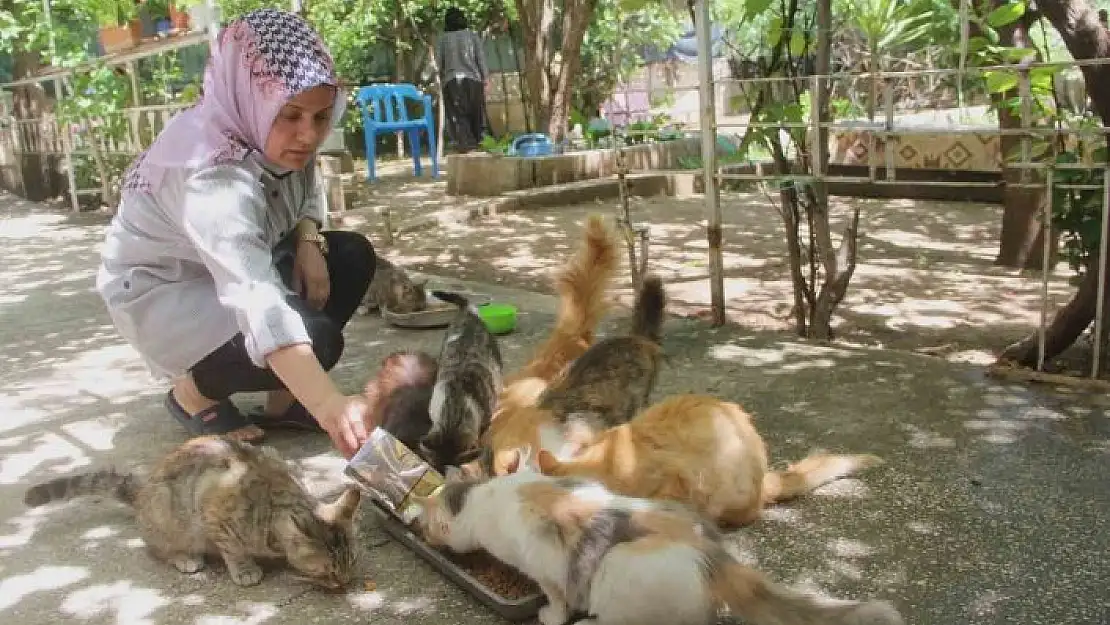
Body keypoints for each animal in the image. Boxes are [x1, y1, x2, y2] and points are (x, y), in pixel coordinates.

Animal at [22, 437, 359, 590]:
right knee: (156, 548)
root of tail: (143, 490)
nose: (345, 583)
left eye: (351, 563)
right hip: (167, 513)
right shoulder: (214, 511)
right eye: (328, 571)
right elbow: (233, 548)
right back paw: (184, 557)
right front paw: (244, 568)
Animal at [419, 452, 905, 625]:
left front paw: (551, 618)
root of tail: (712, 556)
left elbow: (554, 599)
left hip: (618, 581)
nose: (426, 535)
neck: (486, 497)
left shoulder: (546, 571)